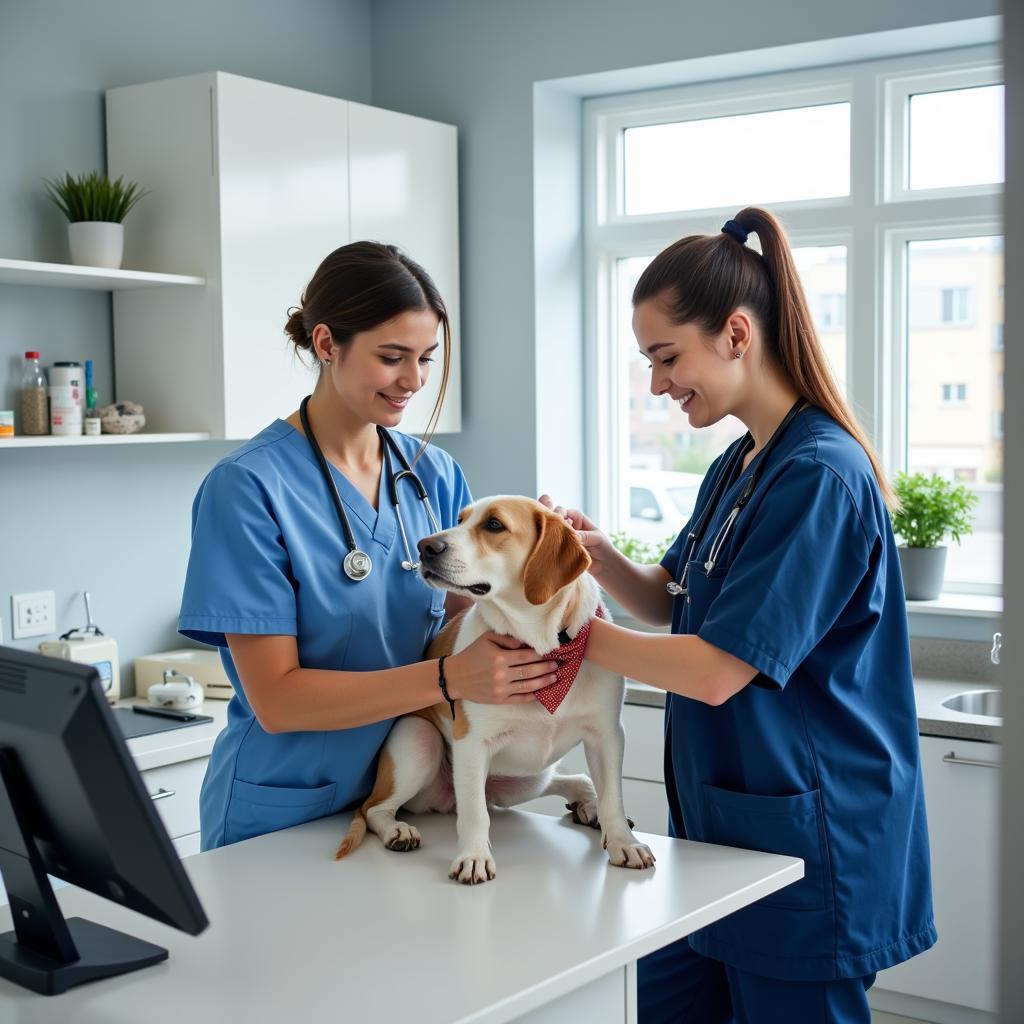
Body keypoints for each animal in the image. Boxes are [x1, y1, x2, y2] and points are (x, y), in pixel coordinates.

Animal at [335, 495, 655, 880]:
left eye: (494, 525)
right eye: (459, 519)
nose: (425, 546)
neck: (542, 646)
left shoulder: (607, 735)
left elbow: (613, 798)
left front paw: (622, 840)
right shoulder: (472, 743)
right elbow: (475, 815)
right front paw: (473, 856)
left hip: (528, 777)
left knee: (575, 779)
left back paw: (587, 803)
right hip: (419, 741)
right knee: (374, 808)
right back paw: (397, 830)